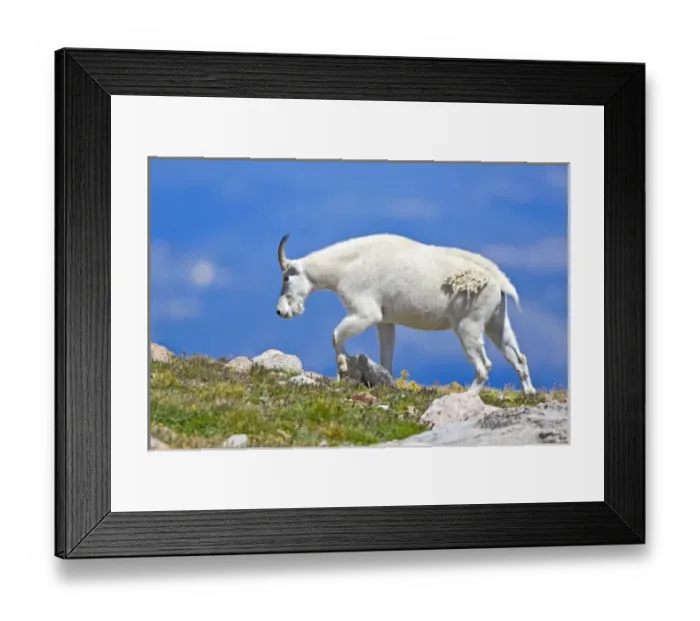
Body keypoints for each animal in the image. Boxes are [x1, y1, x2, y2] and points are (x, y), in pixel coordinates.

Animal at [275, 233, 536, 395]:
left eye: (286, 277)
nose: (280, 311)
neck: (344, 267)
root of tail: (499, 282)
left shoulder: (365, 312)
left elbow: (336, 335)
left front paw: (342, 367)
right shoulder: (386, 321)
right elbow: (386, 356)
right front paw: (385, 382)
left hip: (468, 325)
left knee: (484, 364)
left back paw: (469, 394)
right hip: (496, 319)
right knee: (517, 355)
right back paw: (529, 391)